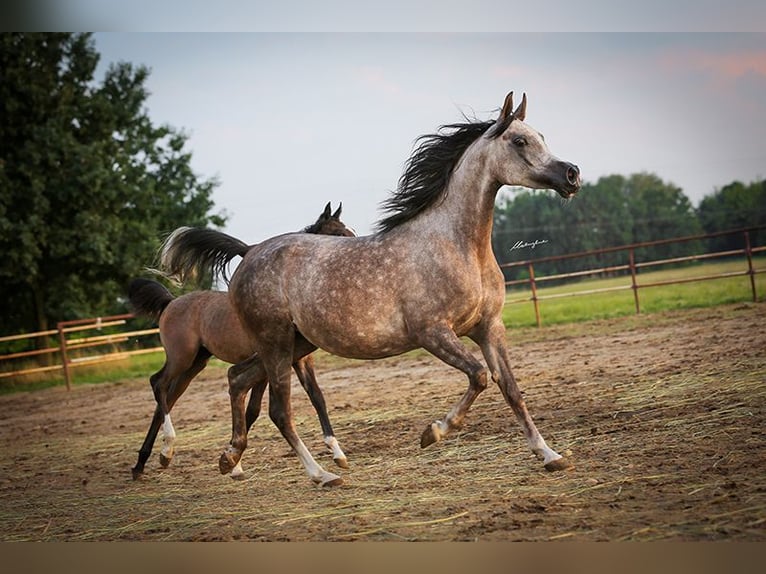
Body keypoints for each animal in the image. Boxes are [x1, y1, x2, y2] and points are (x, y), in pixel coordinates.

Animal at [160, 92, 584, 488]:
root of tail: (249, 252)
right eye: (518, 140)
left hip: (294, 344)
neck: (457, 246)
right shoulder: (433, 332)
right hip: (275, 343)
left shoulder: (489, 328)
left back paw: (229, 458)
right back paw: (321, 475)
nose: (572, 174)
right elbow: (479, 376)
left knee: (237, 379)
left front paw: (550, 455)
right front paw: (433, 433)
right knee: (278, 410)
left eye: (541, 136)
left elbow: (511, 389)